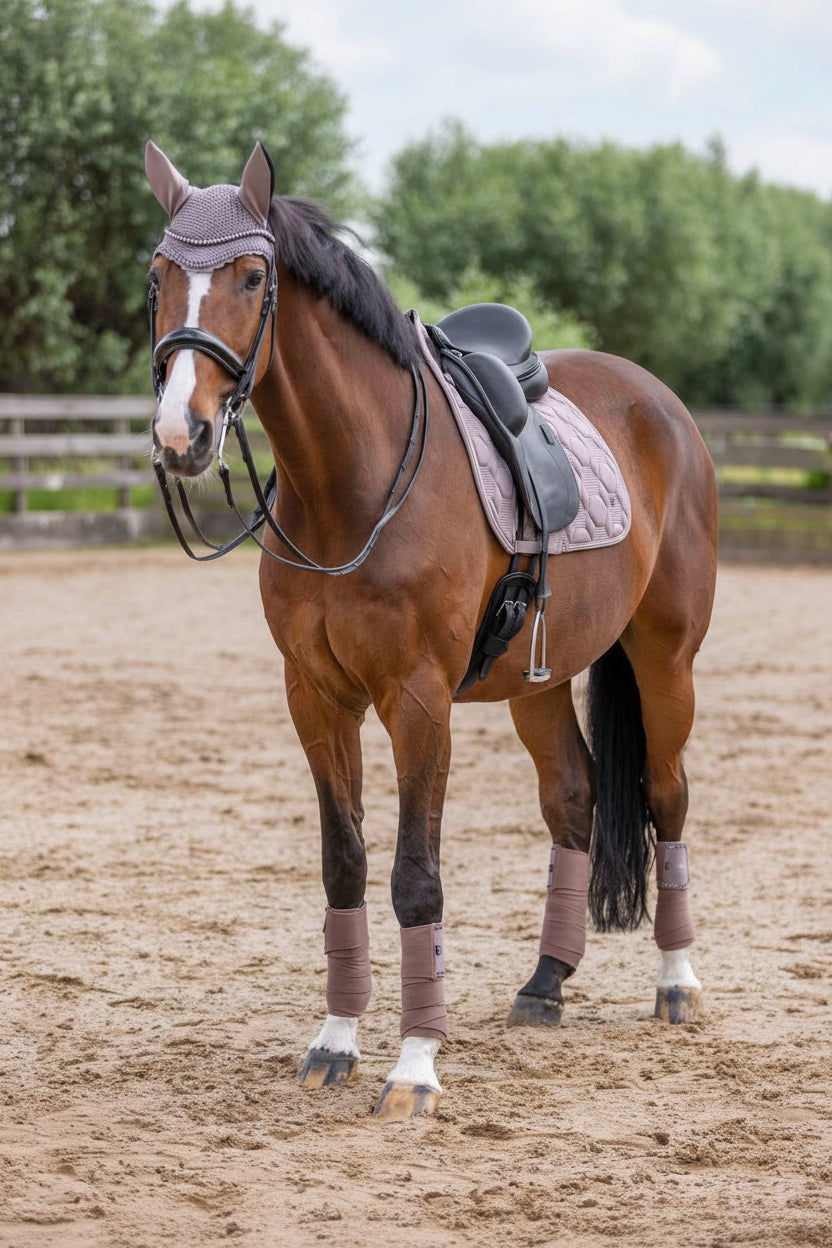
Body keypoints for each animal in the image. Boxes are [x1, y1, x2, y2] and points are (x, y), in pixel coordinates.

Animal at [144, 140, 718, 1121]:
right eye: (157, 277)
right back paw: (545, 982)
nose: (180, 434)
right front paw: (335, 1041)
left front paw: (414, 1066)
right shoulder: (316, 697)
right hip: (540, 679)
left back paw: (676, 984)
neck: (354, 481)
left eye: (253, 277)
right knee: (573, 797)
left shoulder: (416, 701)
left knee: (667, 796)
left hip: (663, 656)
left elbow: (416, 879)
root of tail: (660, 402)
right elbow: (344, 863)